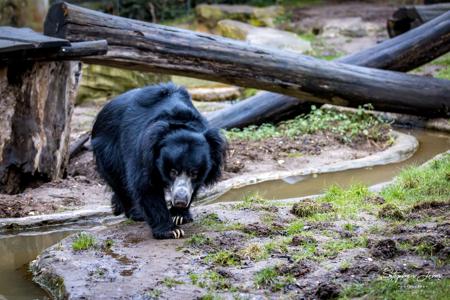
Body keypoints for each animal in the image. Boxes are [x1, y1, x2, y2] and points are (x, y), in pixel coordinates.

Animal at [91, 83, 227, 240]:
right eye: (173, 171)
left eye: (194, 173)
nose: (180, 201)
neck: (180, 121)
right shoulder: (144, 150)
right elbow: (146, 185)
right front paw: (171, 230)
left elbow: (194, 187)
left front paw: (179, 216)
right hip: (108, 149)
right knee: (119, 181)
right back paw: (135, 212)